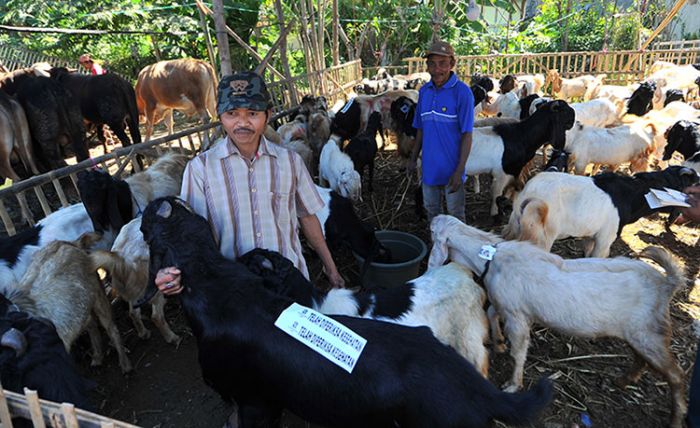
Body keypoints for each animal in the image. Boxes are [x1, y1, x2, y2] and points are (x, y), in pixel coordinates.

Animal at [430, 217, 688, 428]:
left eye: (433, 231)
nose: (433, 219)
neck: (491, 259)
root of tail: (667, 284)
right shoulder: (505, 304)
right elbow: (492, 313)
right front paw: (499, 342)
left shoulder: (517, 315)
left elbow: (519, 351)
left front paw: (513, 384)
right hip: (639, 333)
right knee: (641, 359)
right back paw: (624, 380)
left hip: (649, 334)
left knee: (676, 376)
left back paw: (676, 419)